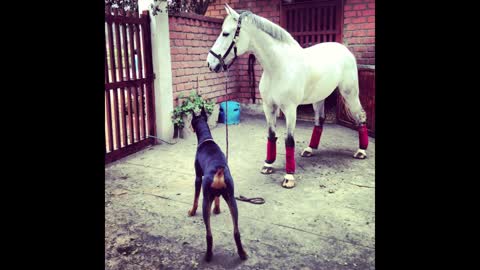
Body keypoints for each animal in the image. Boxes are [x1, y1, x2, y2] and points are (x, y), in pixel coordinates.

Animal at [188, 107, 248, 262]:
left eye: (192, 121)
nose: (189, 128)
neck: (206, 139)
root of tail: (219, 172)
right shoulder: (218, 194)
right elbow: (217, 198)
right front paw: (217, 209)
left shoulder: (198, 178)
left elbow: (195, 198)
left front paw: (192, 211)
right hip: (232, 199)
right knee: (236, 231)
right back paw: (242, 253)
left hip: (206, 200)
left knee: (209, 234)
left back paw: (208, 255)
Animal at [205, 4, 368, 190]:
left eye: (225, 33)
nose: (210, 63)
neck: (278, 68)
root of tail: (344, 50)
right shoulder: (269, 107)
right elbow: (271, 135)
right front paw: (268, 165)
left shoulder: (290, 110)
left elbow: (289, 140)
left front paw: (289, 177)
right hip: (319, 98)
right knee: (319, 121)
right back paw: (309, 150)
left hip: (350, 92)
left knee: (360, 115)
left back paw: (361, 151)